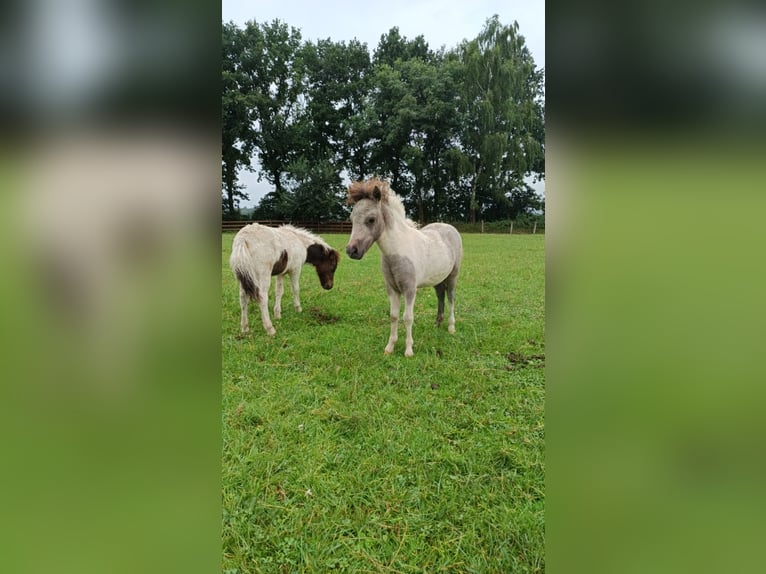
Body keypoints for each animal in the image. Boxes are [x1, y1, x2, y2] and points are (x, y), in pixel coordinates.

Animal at [346, 178, 464, 358]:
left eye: (371, 219)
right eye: (352, 219)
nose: (352, 251)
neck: (396, 251)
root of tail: (450, 228)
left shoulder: (409, 289)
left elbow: (407, 317)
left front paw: (408, 350)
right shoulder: (392, 288)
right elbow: (394, 316)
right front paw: (389, 347)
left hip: (452, 276)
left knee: (451, 298)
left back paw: (451, 327)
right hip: (438, 278)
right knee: (440, 296)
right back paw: (437, 324)